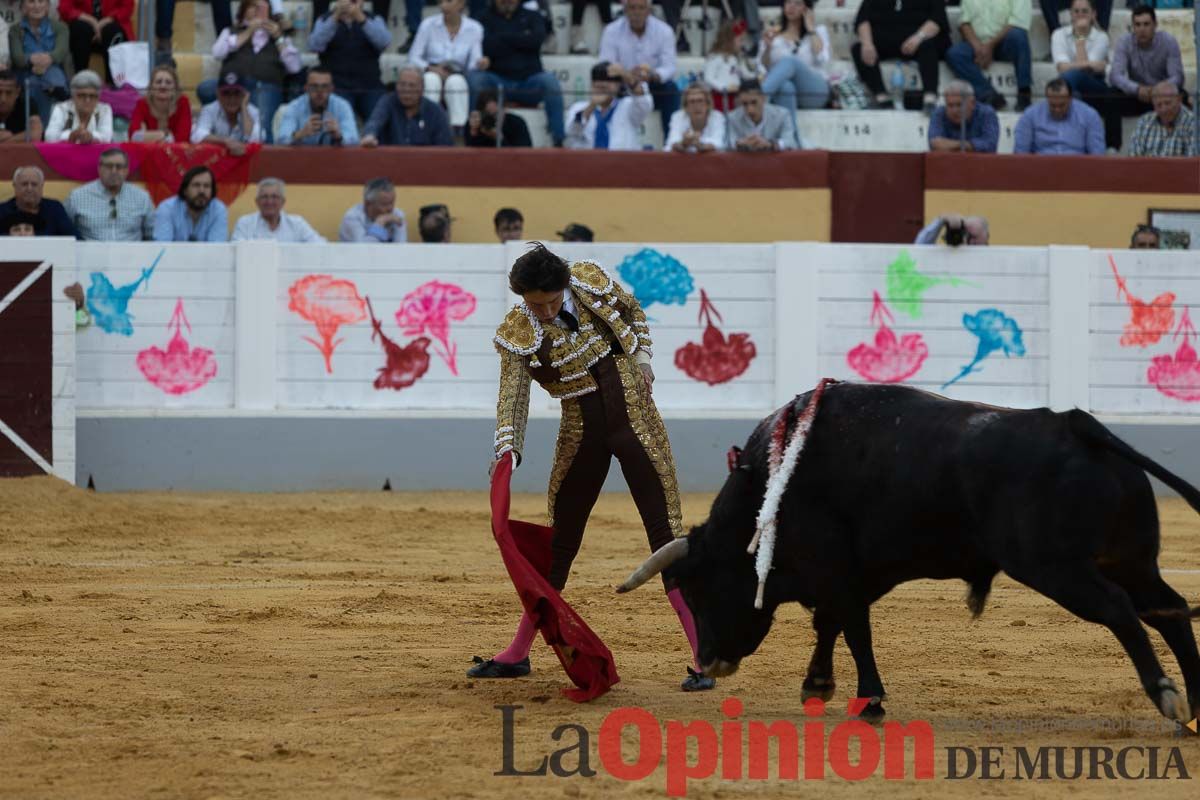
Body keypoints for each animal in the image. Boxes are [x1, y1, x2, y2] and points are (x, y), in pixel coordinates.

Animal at [619, 381, 1200, 724]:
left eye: (697, 587)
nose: (708, 660)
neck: (771, 486)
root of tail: (1077, 424)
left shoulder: (835, 570)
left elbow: (851, 628)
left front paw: (868, 698)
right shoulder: (852, 575)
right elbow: (833, 625)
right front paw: (819, 686)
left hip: (1057, 569)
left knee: (1121, 611)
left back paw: (1167, 695)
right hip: (1131, 562)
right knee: (1169, 610)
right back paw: (1195, 702)